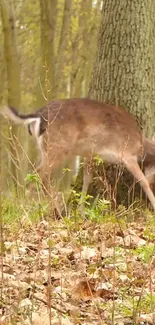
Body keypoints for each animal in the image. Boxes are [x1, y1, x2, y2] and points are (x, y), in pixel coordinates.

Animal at [2, 98, 155, 209]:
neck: (141, 147)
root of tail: (38, 115)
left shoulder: (89, 154)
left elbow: (87, 179)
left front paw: (81, 210)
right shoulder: (128, 154)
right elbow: (143, 181)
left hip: (44, 149)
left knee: (37, 175)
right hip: (58, 147)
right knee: (39, 175)